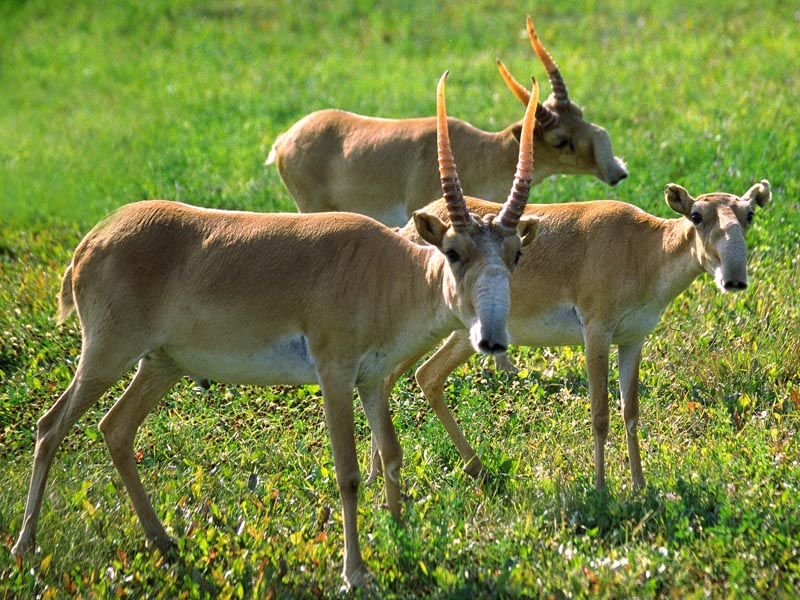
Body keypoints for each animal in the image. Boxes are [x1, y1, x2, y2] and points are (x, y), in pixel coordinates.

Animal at [9, 74, 540, 592]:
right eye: (453, 251)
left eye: (515, 253)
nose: (492, 339)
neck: (387, 269)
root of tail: (91, 240)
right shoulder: (334, 374)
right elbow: (347, 472)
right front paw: (355, 572)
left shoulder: (370, 379)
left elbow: (391, 454)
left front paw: (399, 536)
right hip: (106, 353)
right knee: (51, 426)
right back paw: (25, 548)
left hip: (160, 364)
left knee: (115, 428)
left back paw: (163, 542)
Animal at [370, 180, 776, 490]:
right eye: (696, 215)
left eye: (749, 215)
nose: (734, 278)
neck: (647, 250)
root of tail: (407, 227)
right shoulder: (596, 329)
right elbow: (600, 415)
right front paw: (600, 487)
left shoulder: (633, 339)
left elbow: (631, 412)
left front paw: (639, 485)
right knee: (410, 376)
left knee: (413, 377)